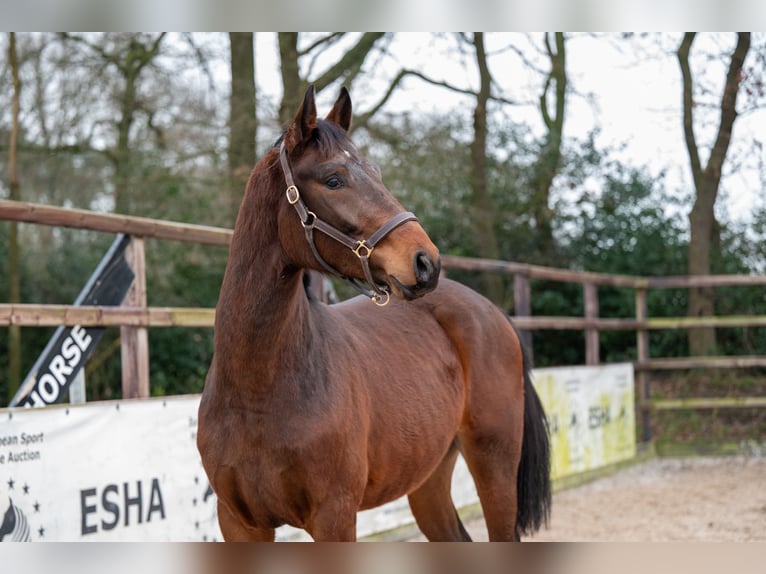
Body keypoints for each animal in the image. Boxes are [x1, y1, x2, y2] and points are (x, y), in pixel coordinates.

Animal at [195, 83, 548, 544]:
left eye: (376, 174)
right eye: (334, 179)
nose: (425, 261)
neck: (257, 391)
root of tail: (494, 314)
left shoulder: (335, 516)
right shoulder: (239, 523)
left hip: (495, 465)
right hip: (429, 476)